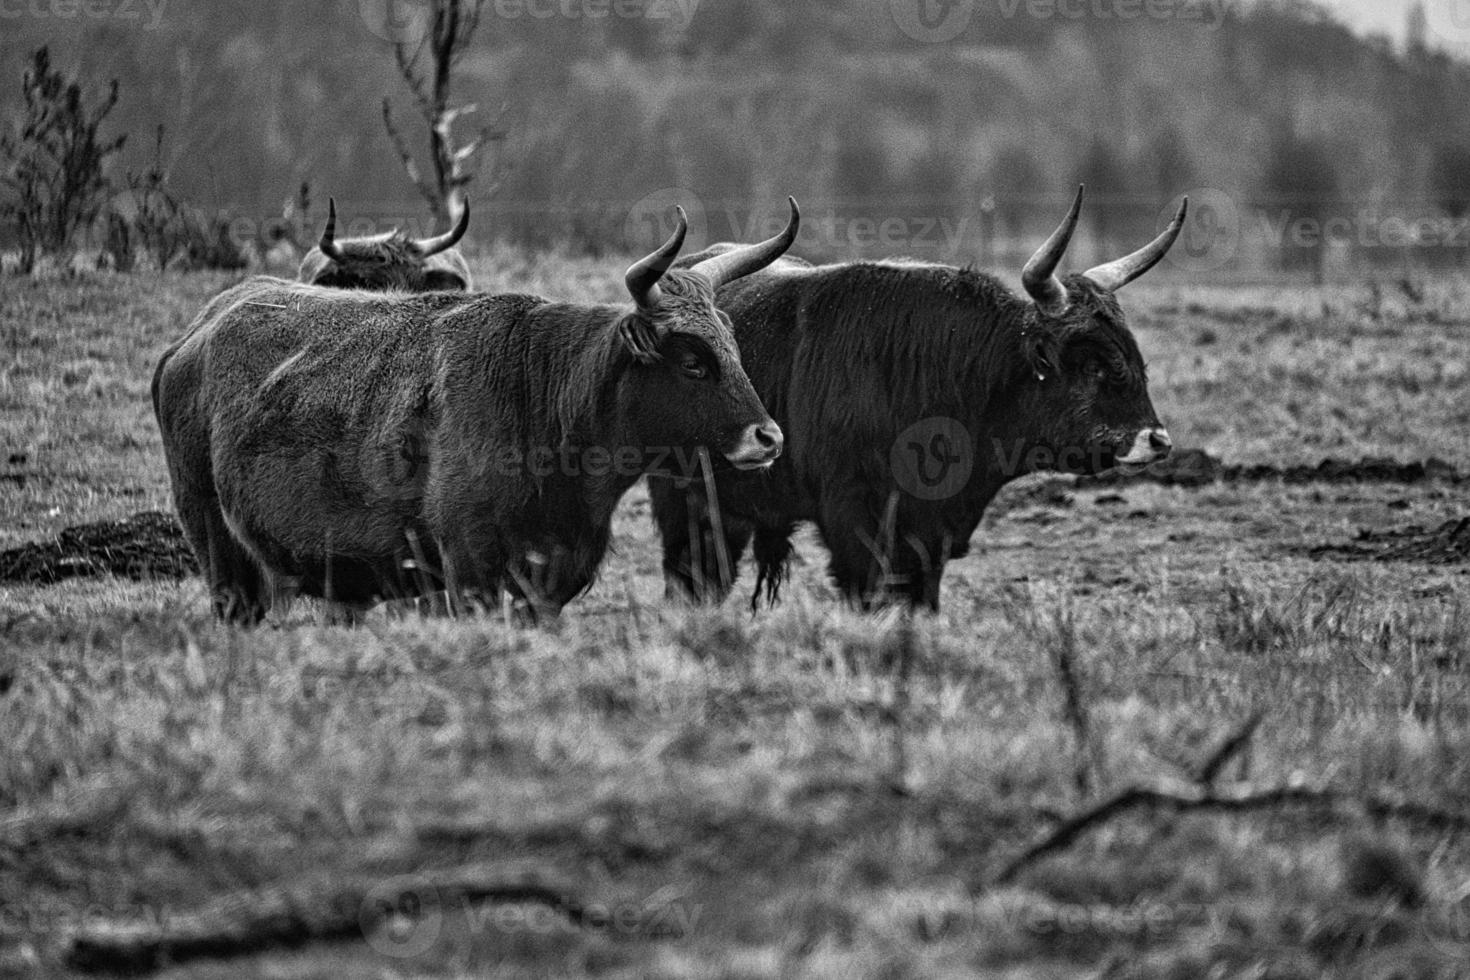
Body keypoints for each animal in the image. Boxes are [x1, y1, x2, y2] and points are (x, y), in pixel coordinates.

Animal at [652, 186, 1181, 608]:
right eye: (1092, 364)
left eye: (1131, 356)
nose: (1157, 440)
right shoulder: (855, 525)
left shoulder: (929, 538)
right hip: (684, 502)